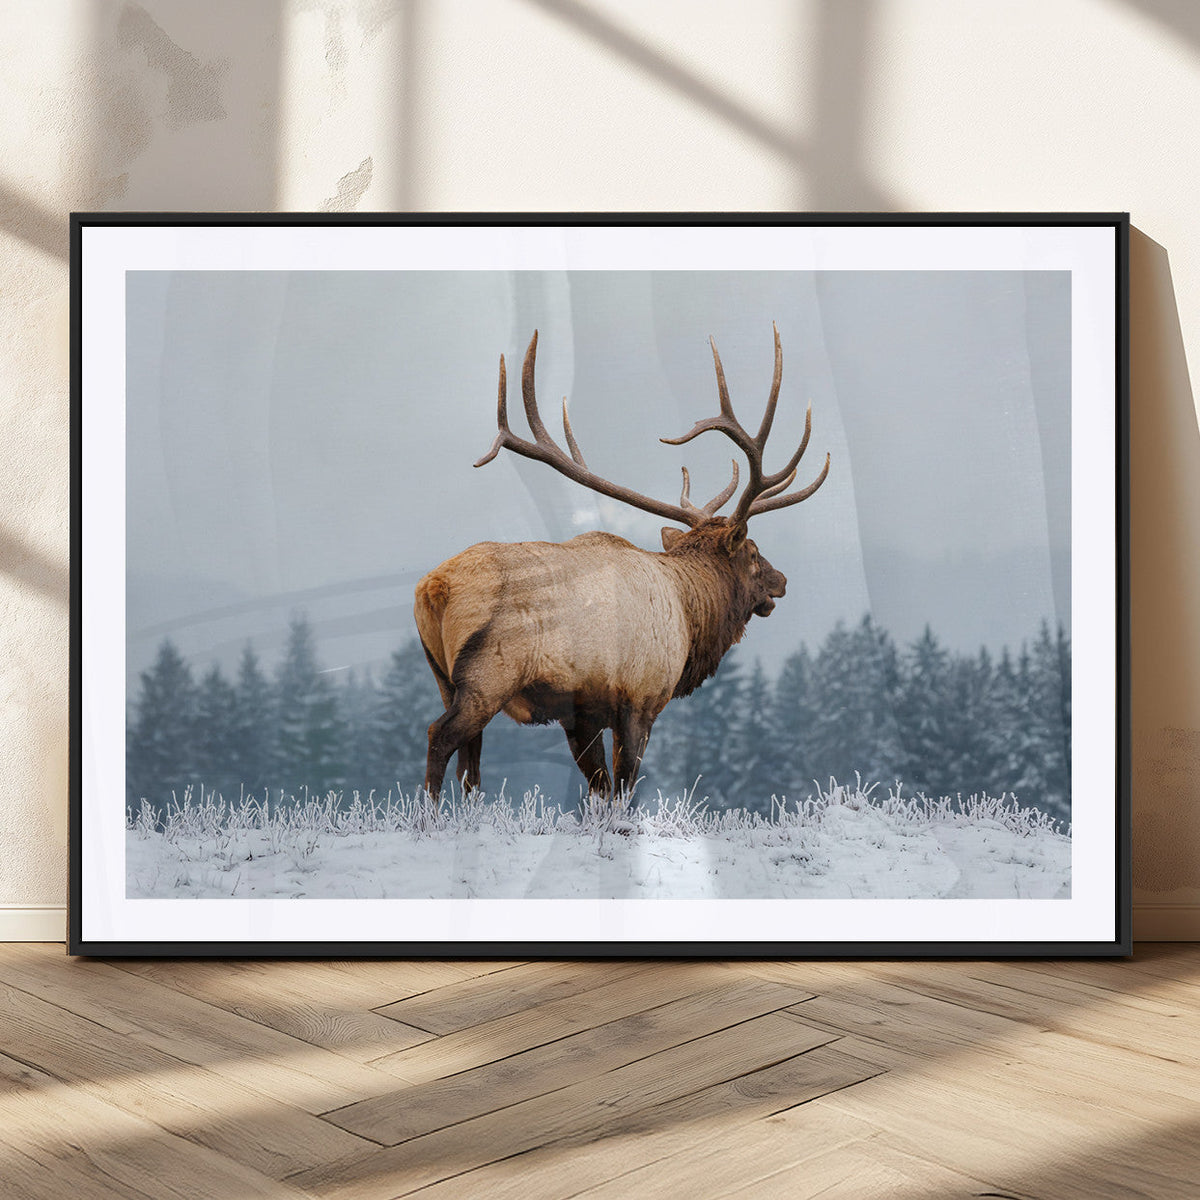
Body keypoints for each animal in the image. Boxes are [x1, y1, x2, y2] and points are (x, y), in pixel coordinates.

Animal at [414, 324, 830, 802]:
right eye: (754, 552)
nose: (782, 580)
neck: (690, 616)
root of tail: (434, 588)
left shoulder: (582, 714)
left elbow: (599, 787)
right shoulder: (640, 698)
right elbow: (625, 788)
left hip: (442, 677)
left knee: (471, 763)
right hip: (488, 675)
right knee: (440, 736)